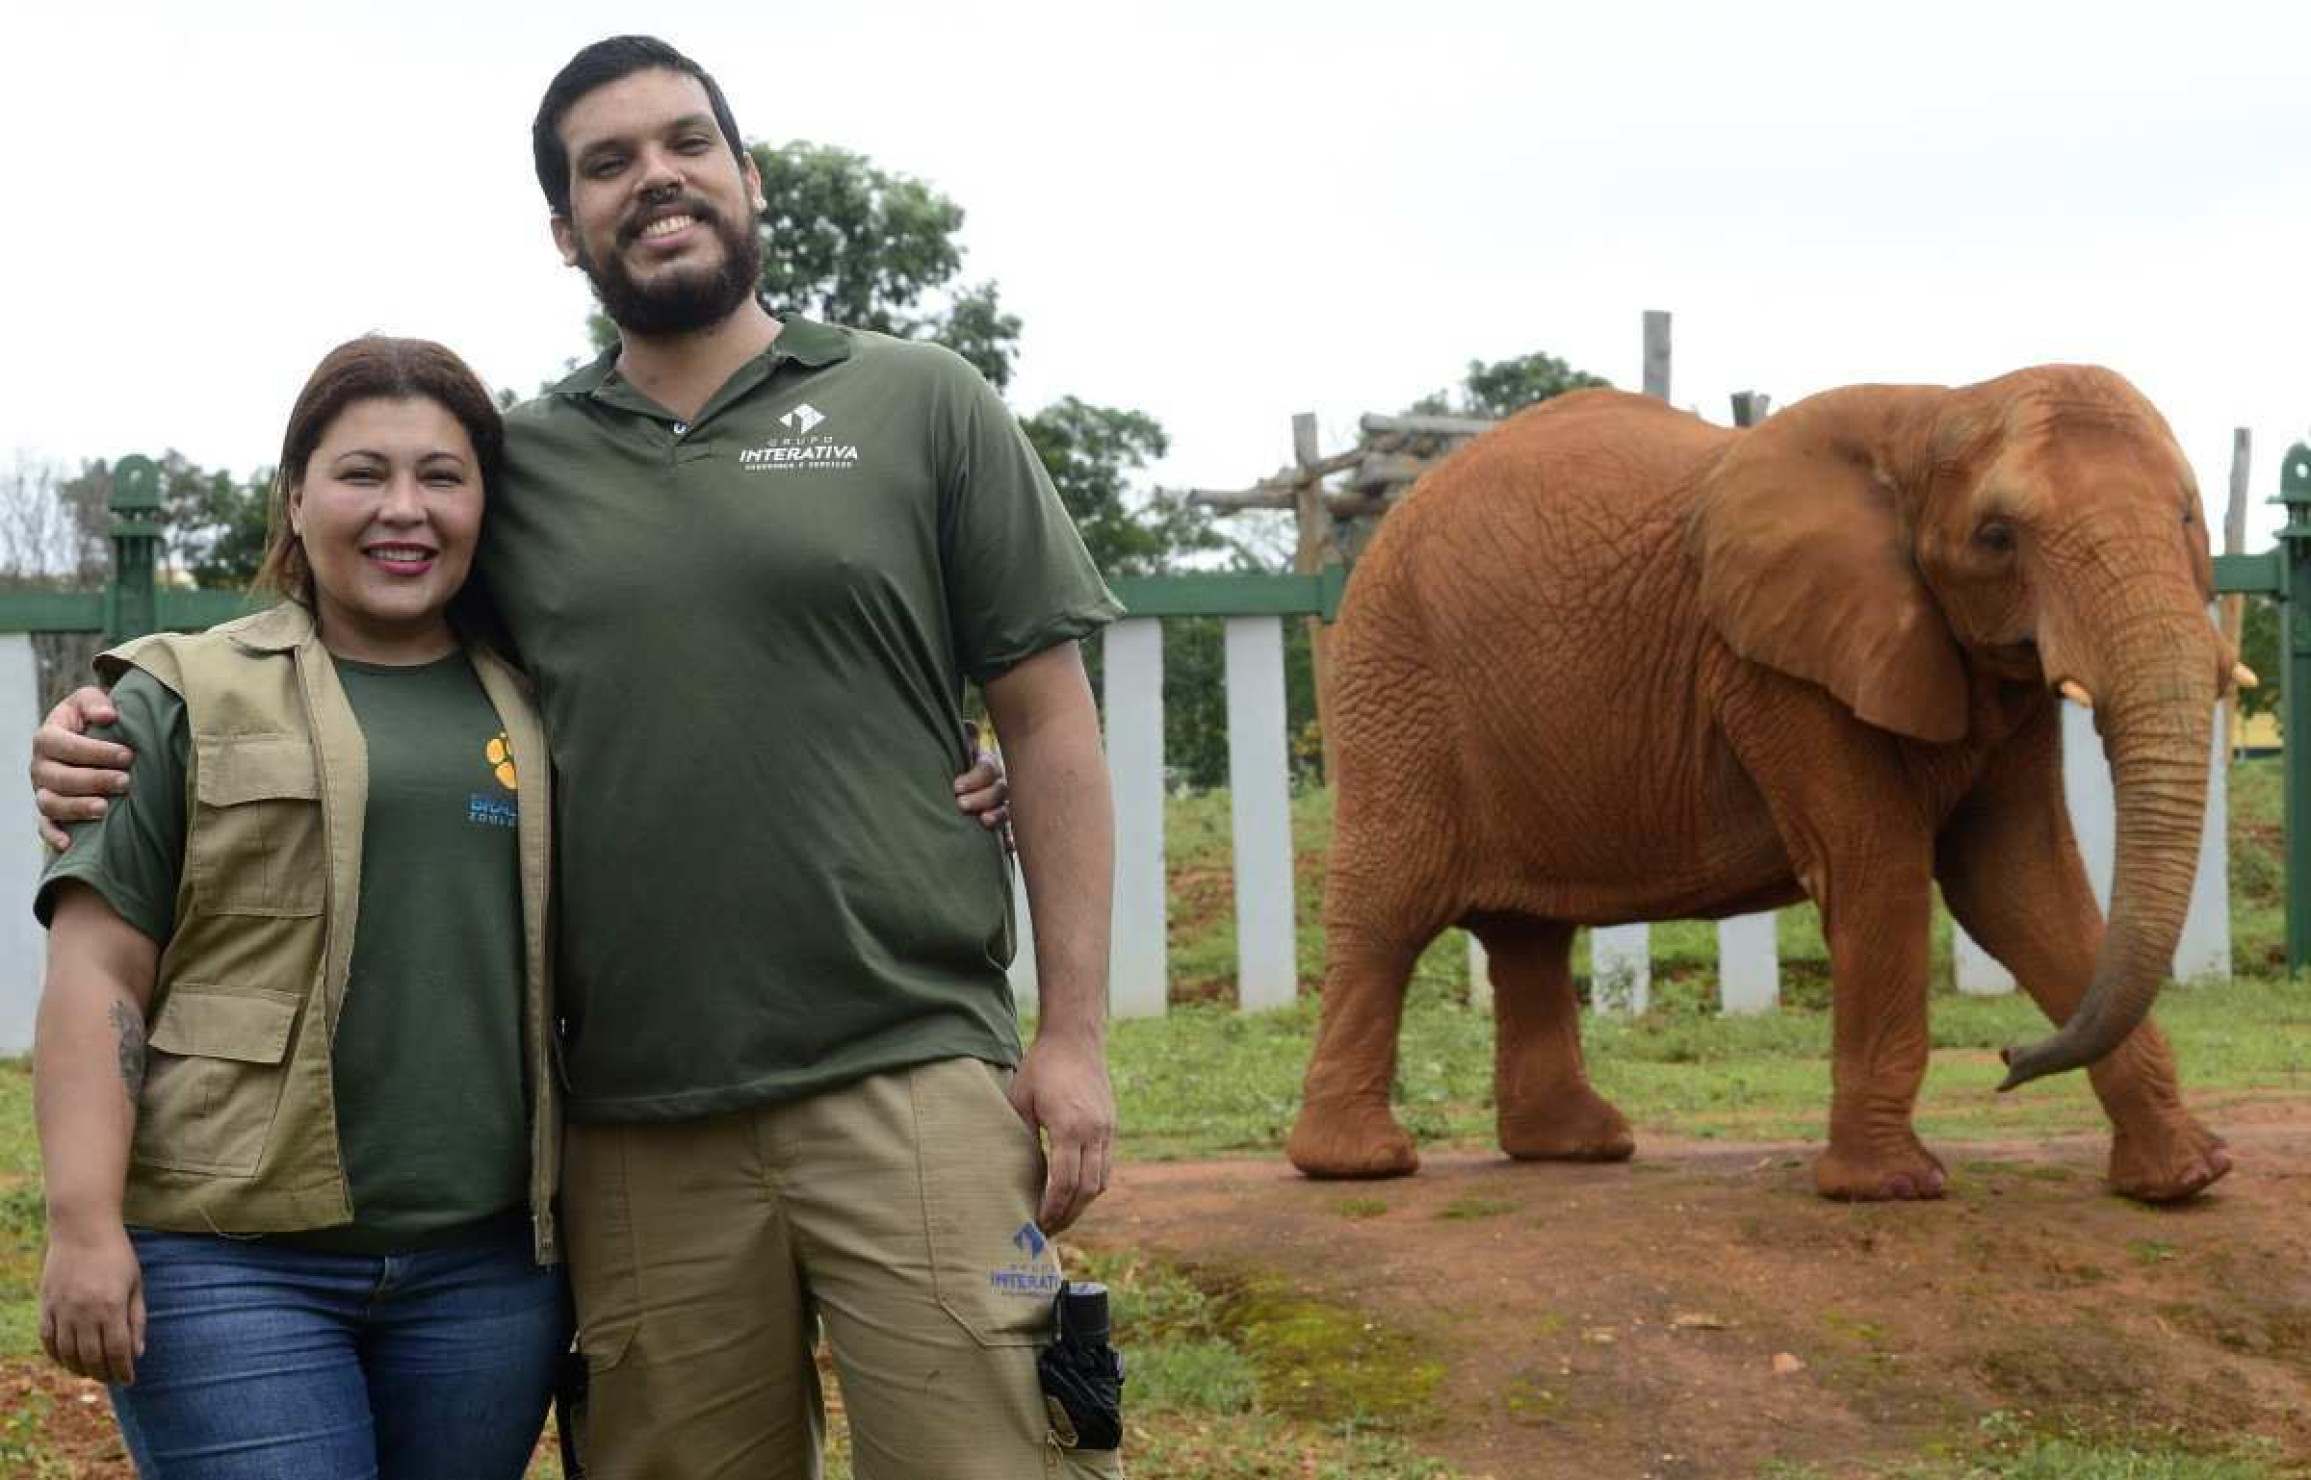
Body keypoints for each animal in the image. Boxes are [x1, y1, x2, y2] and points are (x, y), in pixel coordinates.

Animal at [1284, 367, 2237, 1202]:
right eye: (1997, 537)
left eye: (2187, 515)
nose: (2008, 1061)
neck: (1937, 407)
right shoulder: (1774, 664)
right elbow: (1879, 866)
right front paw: (1889, 1188)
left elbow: (2017, 880)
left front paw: (2187, 1178)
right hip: (1396, 683)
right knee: (1388, 909)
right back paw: (1359, 1165)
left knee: (1528, 933)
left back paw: (1575, 1146)